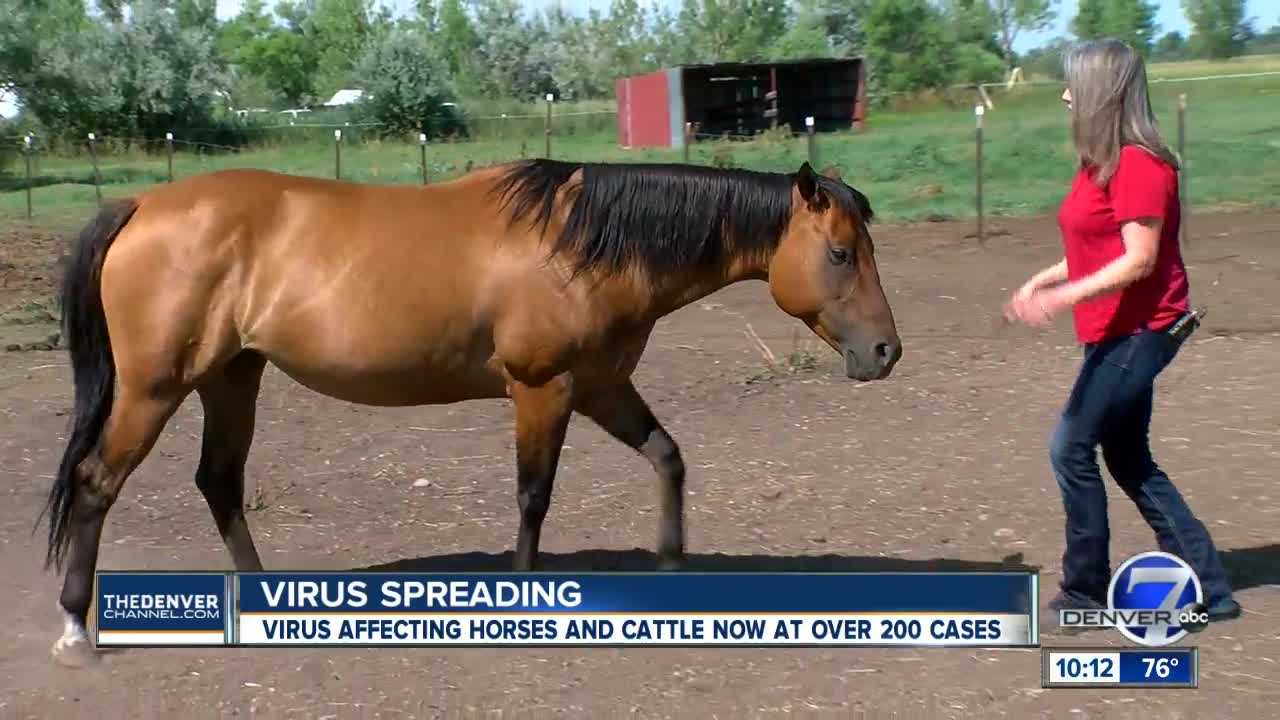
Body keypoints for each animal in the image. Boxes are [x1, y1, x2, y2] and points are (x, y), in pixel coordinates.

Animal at [37, 156, 901, 661]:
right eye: (839, 253)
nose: (886, 352)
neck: (580, 245)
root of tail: (143, 205)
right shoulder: (543, 387)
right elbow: (533, 496)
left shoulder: (602, 387)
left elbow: (667, 456)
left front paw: (671, 565)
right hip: (155, 389)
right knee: (97, 482)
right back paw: (77, 629)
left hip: (232, 376)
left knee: (218, 482)